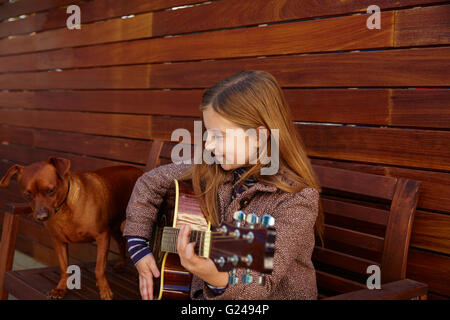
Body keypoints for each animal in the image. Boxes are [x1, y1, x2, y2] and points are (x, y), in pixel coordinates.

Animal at [0, 158, 142, 300]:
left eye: (51, 190)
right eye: (28, 195)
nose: (41, 217)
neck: (64, 210)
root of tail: (140, 170)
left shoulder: (102, 236)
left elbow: (99, 268)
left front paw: (104, 290)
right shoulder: (59, 242)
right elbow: (64, 268)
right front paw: (61, 288)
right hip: (114, 228)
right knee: (122, 242)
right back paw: (121, 263)